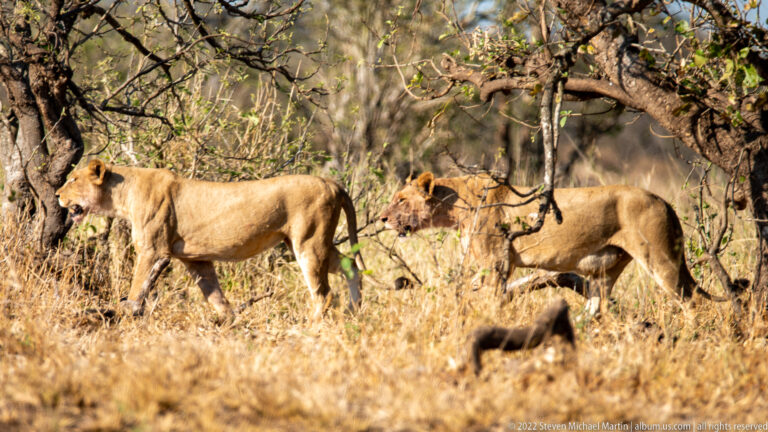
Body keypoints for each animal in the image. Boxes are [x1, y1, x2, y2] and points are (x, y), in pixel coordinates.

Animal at [56, 159, 364, 319]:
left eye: (73, 179)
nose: (57, 194)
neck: (122, 193)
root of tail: (332, 183)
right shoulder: (196, 258)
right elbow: (215, 295)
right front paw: (230, 323)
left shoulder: (152, 250)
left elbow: (137, 287)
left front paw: (124, 314)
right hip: (310, 242)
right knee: (351, 265)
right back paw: (355, 312)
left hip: (309, 243)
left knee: (324, 294)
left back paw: (310, 327)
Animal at [380, 172, 722, 314]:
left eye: (400, 199)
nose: (381, 218)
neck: (454, 205)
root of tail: (665, 202)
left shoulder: (496, 262)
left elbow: (489, 299)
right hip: (606, 271)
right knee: (597, 309)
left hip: (661, 260)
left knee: (693, 302)